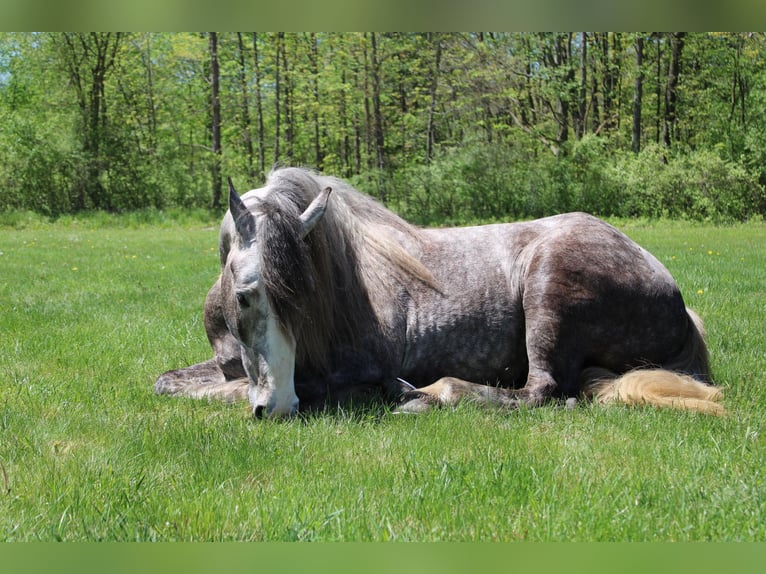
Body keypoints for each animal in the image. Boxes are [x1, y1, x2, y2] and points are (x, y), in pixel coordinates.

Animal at [155, 167, 723, 417]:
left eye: (304, 304)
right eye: (245, 296)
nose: (276, 406)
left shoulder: (353, 367)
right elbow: (167, 382)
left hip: (549, 290)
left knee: (540, 392)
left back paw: (426, 394)